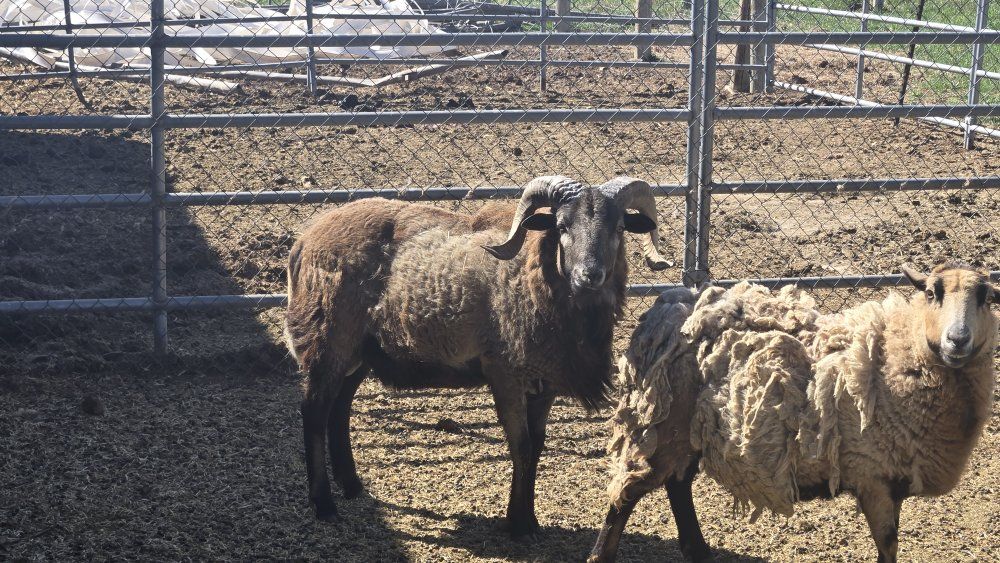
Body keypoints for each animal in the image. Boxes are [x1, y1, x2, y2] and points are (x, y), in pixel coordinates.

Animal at [284, 176, 670, 537]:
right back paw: (324, 504)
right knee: (315, 411)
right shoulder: (504, 373)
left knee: (339, 408)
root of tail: (303, 241)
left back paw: (352, 485)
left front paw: (530, 519)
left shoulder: (544, 381)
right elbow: (522, 447)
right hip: (327, 340)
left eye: (619, 227)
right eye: (562, 226)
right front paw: (517, 523)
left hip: (360, 351)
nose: (590, 275)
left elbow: (538, 446)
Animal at [589, 263, 998, 563]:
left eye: (986, 298)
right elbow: (887, 546)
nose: (957, 340)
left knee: (677, 483)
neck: (894, 355)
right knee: (627, 492)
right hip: (660, 425)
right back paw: (603, 554)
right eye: (932, 293)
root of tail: (662, 309)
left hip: (689, 432)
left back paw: (699, 550)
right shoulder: (874, 478)